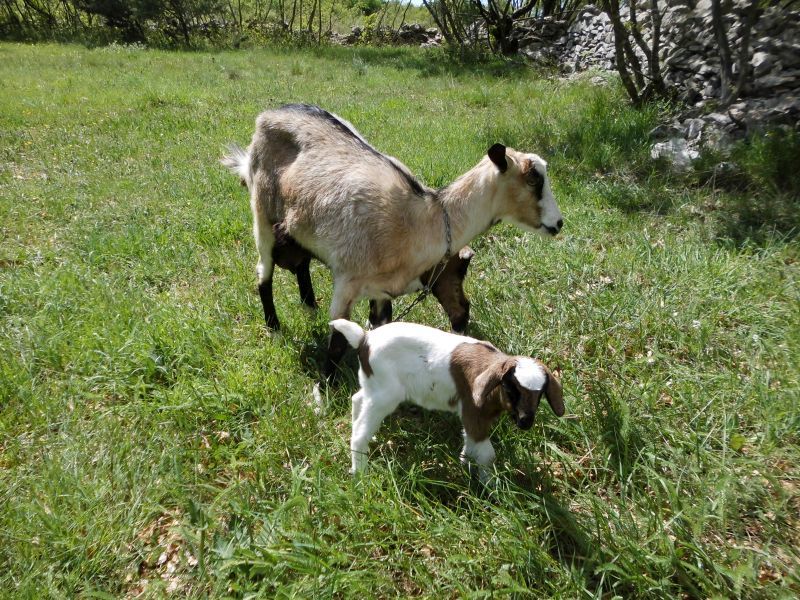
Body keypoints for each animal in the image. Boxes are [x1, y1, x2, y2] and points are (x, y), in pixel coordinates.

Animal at [222, 105, 564, 372]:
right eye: (534, 179)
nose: (558, 223)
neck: (422, 219)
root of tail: (269, 114)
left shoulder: (382, 291)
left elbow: (380, 331)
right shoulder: (346, 282)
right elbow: (337, 343)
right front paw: (324, 396)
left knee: (301, 264)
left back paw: (309, 306)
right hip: (262, 215)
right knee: (263, 273)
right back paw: (274, 327)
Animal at [330, 322, 564, 480]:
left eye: (541, 393)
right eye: (510, 387)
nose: (526, 421)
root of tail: (364, 338)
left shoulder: (474, 418)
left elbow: (471, 445)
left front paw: (465, 465)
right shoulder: (473, 412)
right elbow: (487, 454)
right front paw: (490, 485)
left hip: (373, 384)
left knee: (357, 399)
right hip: (385, 394)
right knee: (360, 432)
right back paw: (360, 472)